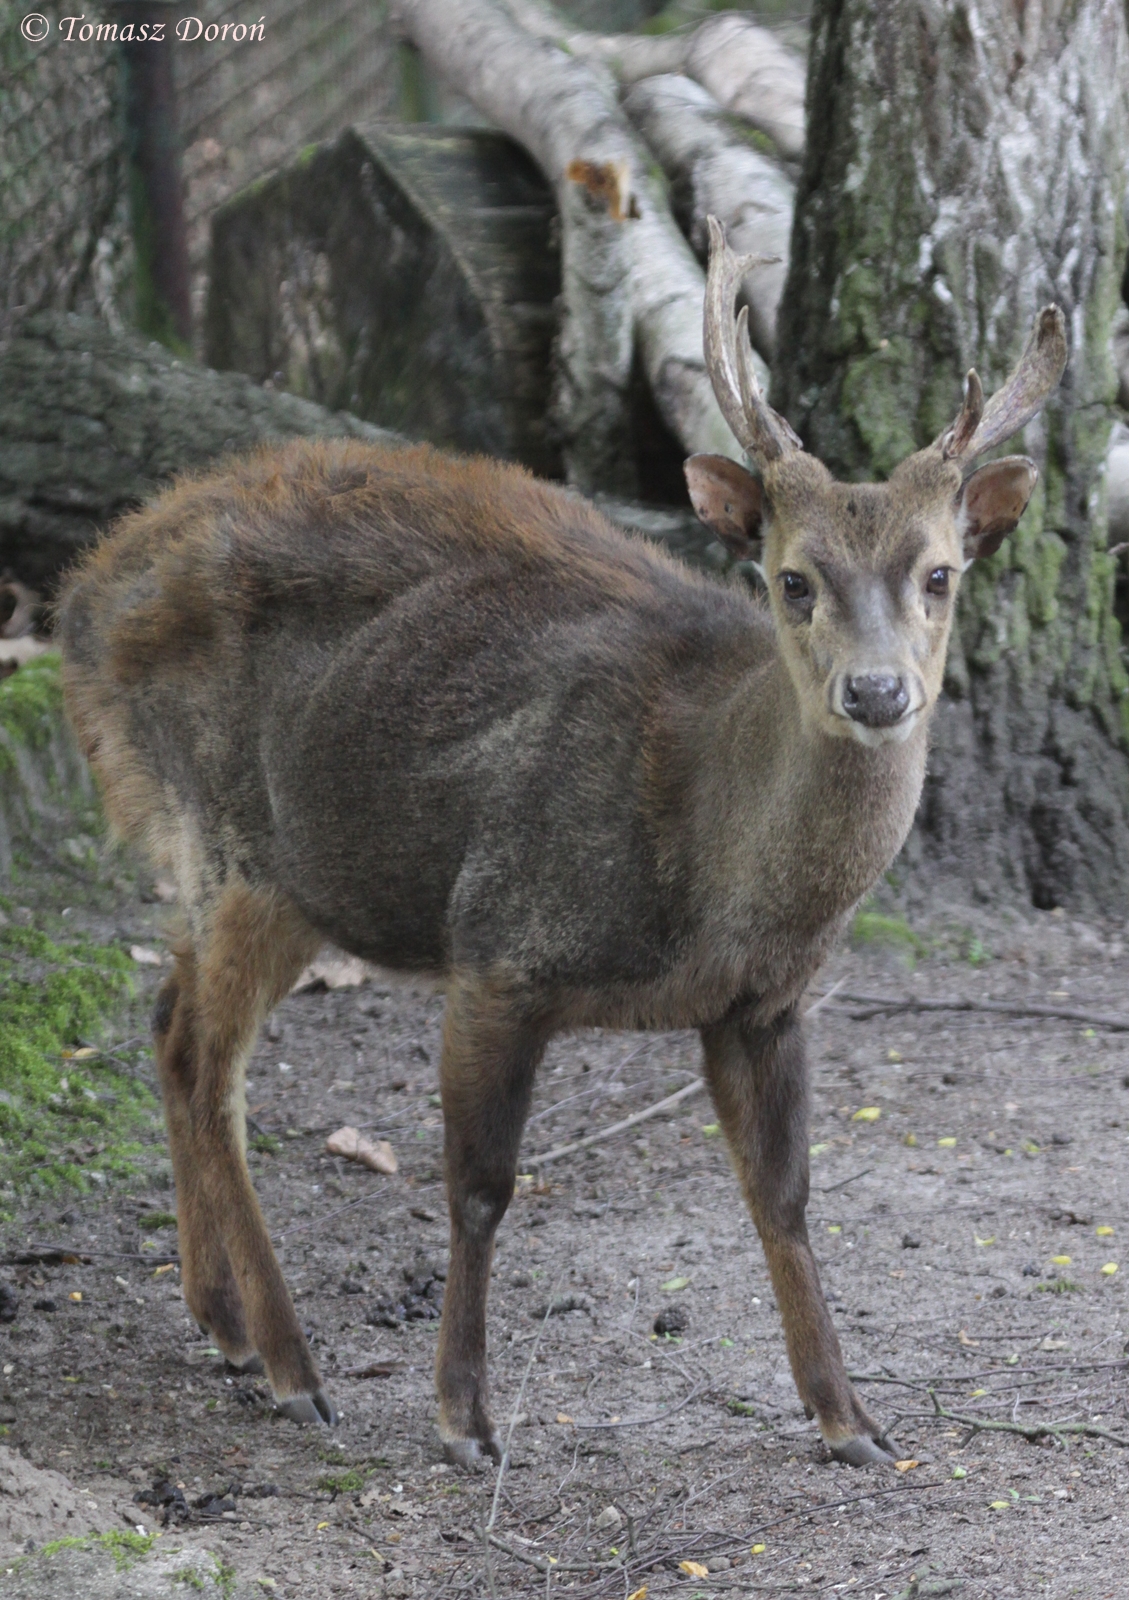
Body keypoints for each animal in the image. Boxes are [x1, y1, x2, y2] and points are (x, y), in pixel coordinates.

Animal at [58, 218, 1066, 1469]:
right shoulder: (501, 941)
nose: (876, 692)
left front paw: (850, 1421)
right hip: (233, 841)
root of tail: (80, 599)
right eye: (792, 577)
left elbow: (783, 1194)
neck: (707, 872)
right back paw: (295, 1368)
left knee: (166, 1019)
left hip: (245, 873)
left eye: (939, 572)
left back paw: (227, 1327)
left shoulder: (766, 1002)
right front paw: (464, 1418)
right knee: (208, 1061)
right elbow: (480, 1185)